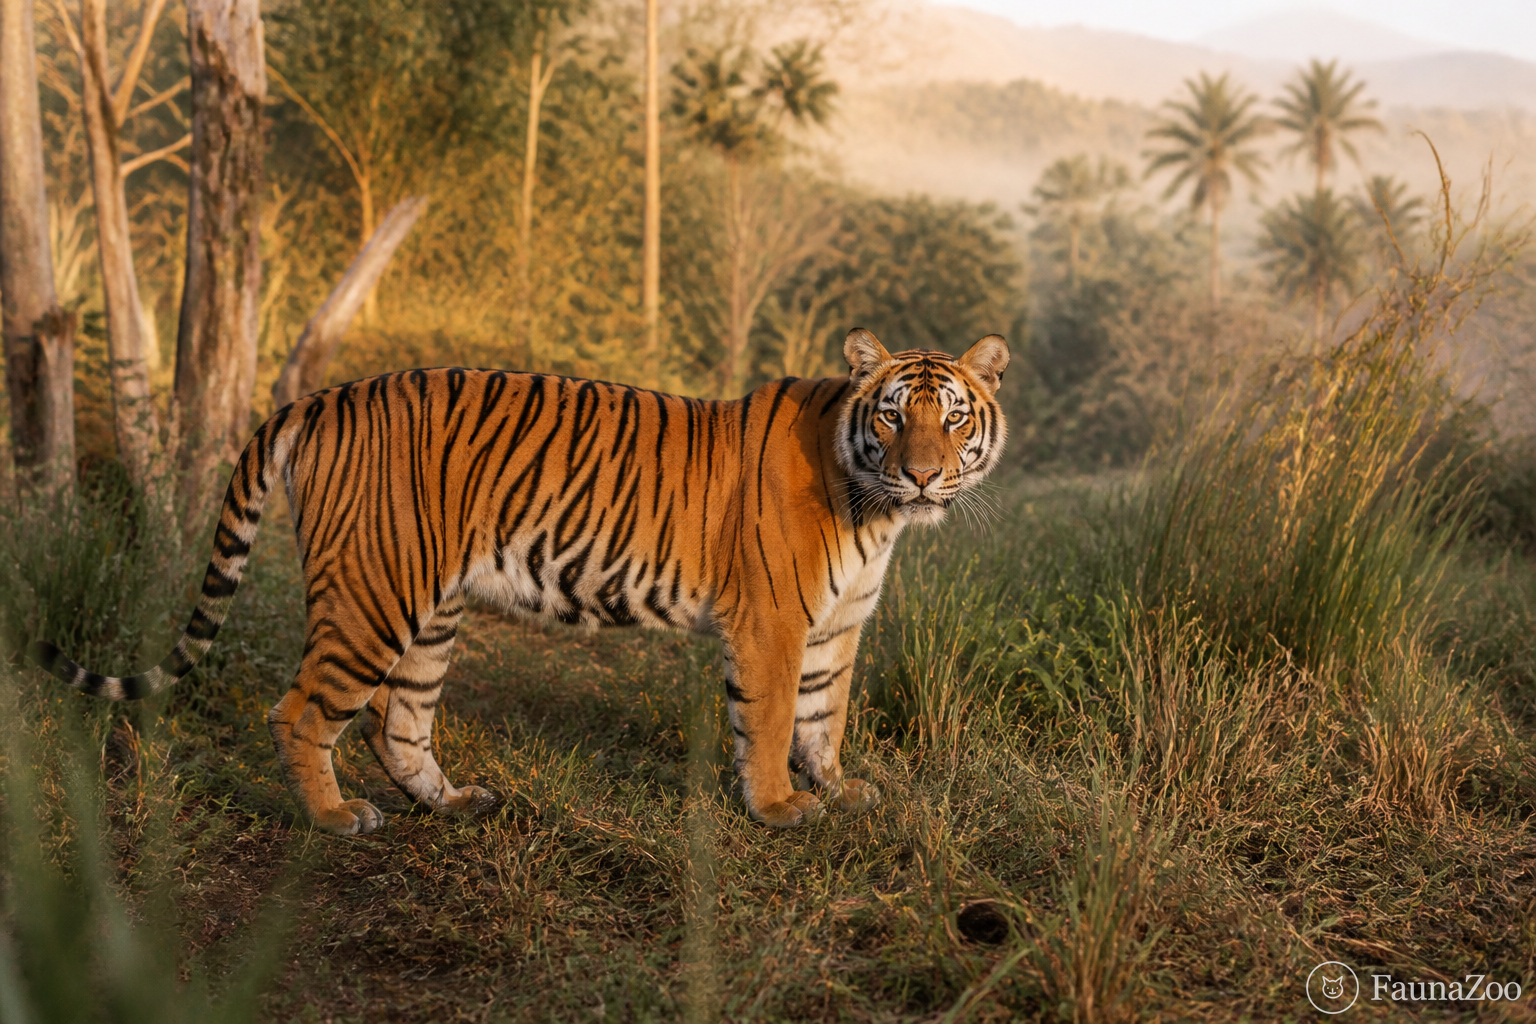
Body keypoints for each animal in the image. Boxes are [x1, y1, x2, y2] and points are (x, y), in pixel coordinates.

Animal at [32, 328, 1009, 834]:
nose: (925, 475)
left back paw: (453, 802)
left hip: (430, 608)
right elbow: (770, 722)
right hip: (372, 598)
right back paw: (336, 818)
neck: (876, 512)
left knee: (399, 722)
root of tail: (325, 395)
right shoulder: (774, 620)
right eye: (896, 416)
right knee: (303, 709)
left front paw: (840, 790)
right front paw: (777, 808)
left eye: (954, 418)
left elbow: (822, 716)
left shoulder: (837, 626)